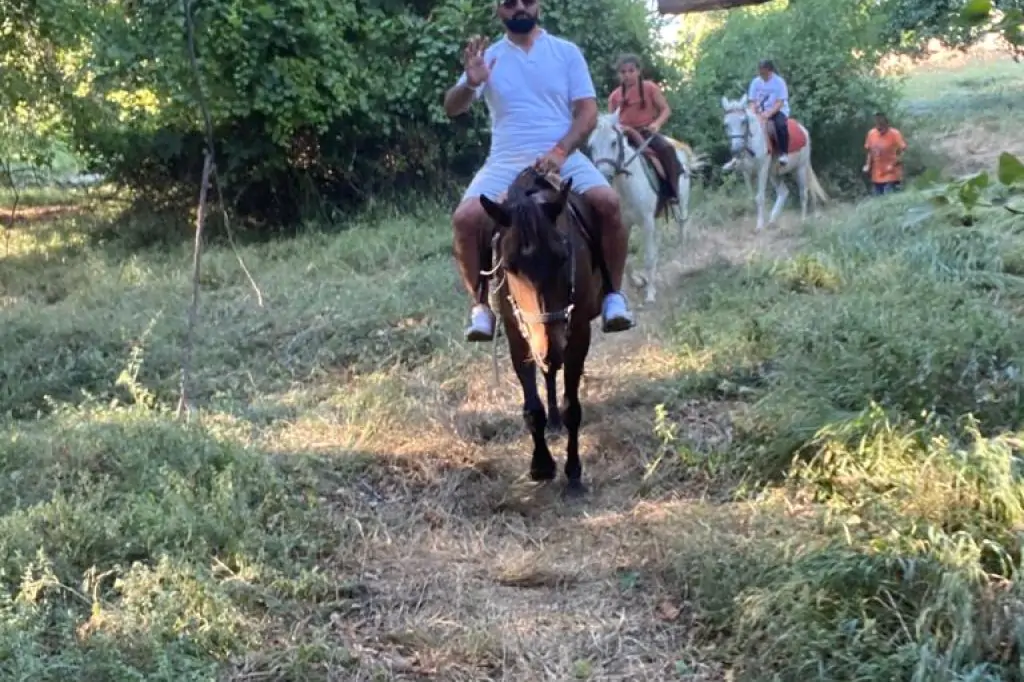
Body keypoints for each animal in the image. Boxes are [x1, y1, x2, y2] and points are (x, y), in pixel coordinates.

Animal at [477, 166, 610, 491]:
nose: (548, 342)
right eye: (509, 267)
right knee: (548, 370)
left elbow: (572, 407)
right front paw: (541, 465)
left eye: (562, 257)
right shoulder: (518, 336)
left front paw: (573, 472)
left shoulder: (577, 334)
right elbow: (532, 408)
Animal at [589, 110, 708, 301]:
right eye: (591, 145)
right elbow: (626, 257)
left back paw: (684, 264)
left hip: (681, 203)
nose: (603, 176)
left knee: (682, 230)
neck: (627, 186)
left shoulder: (646, 222)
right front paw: (638, 282)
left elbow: (648, 257)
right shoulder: (625, 224)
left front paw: (650, 293)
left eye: (614, 142)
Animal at [720, 93, 831, 232]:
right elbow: (751, 197)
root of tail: (803, 130)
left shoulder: (762, 170)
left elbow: (760, 197)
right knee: (784, 192)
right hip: (774, 173)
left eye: (743, 121)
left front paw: (759, 226)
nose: (736, 149)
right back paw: (772, 220)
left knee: (803, 193)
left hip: (800, 168)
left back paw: (803, 221)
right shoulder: (746, 172)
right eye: (726, 124)